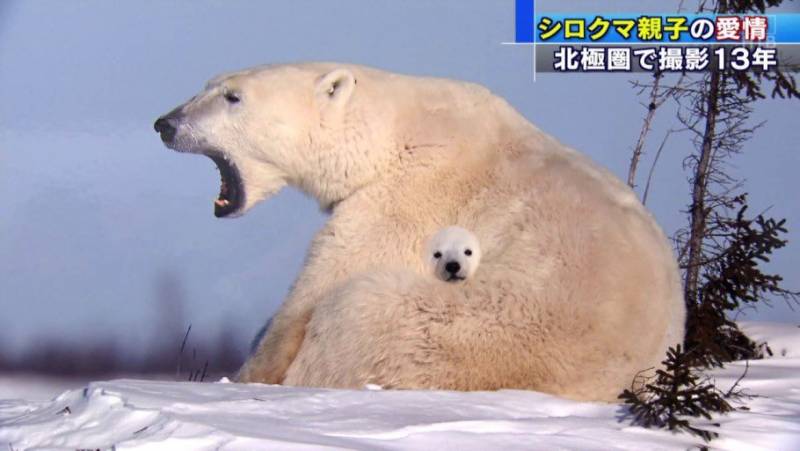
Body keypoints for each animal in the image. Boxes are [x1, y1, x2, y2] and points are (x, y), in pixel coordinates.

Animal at [153, 61, 684, 400]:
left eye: (232, 96)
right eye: (208, 85)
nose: (165, 123)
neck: (391, 133)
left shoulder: (408, 196)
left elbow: (318, 288)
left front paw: (246, 376)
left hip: (465, 333)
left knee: (356, 309)